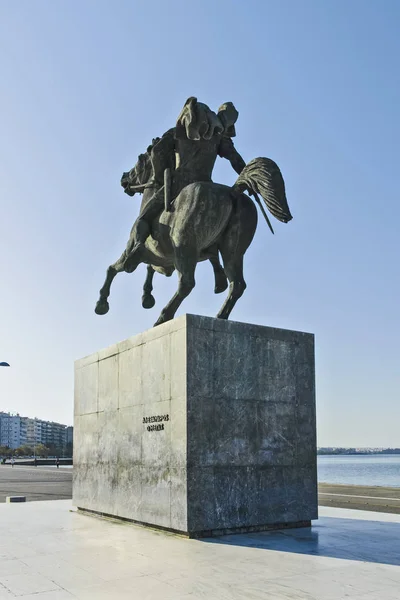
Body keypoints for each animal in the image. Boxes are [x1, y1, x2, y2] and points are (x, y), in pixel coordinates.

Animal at [95, 152, 292, 326]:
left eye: (138, 165)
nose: (124, 178)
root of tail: (233, 192)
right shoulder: (161, 259)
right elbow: (149, 269)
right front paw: (147, 297)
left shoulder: (136, 251)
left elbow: (113, 268)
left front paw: (102, 303)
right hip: (233, 250)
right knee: (236, 284)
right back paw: (220, 315)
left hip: (184, 247)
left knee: (186, 284)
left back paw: (164, 317)